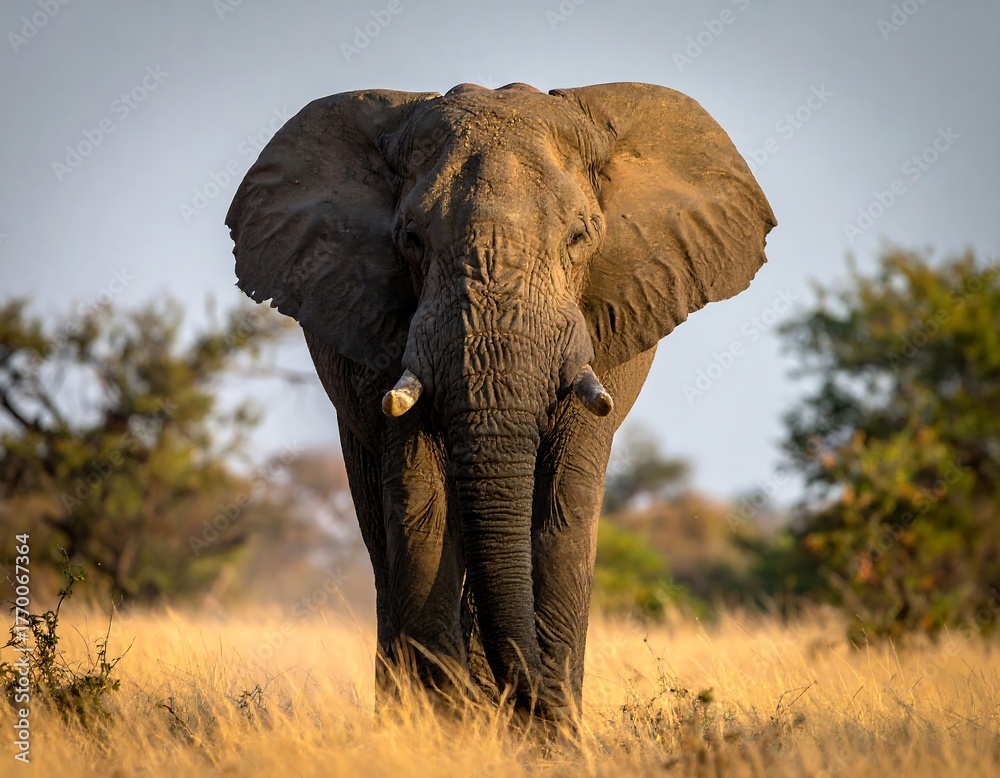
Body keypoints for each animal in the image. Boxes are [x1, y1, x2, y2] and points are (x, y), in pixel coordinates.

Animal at [225, 81, 775, 721]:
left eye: (580, 236)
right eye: (409, 239)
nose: (532, 703)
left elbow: (565, 506)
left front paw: (549, 732)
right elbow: (421, 504)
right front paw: (446, 726)